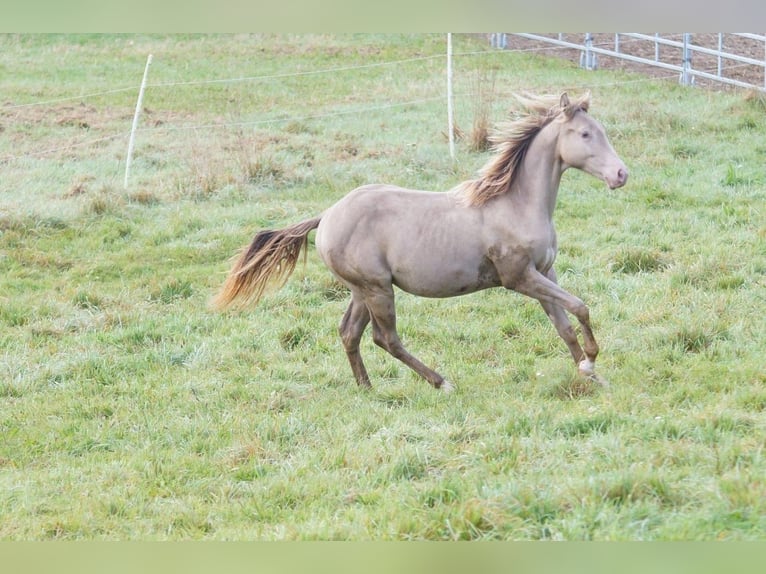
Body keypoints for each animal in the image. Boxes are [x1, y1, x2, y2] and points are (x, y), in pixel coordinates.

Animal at [212, 91, 632, 396]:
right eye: (584, 134)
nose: (621, 174)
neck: (515, 203)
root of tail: (327, 216)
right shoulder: (519, 278)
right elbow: (580, 307)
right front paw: (591, 361)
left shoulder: (545, 271)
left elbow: (563, 324)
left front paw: (590, 374)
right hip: (378, 289)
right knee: (385, 338)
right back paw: (441, 382)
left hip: (362, 290)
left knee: (349, 332)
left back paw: (367, 388)